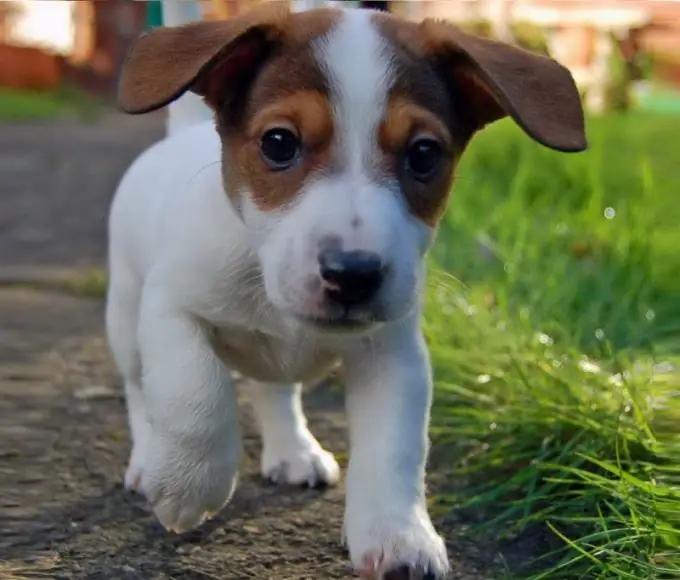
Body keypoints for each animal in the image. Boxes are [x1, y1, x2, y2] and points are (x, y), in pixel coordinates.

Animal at [106, 2, 584, 576]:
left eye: (424, 154)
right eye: (278, 143)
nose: (353, 273)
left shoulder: (395, 357)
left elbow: (394, 450)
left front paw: (398, 535)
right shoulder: (171, 307)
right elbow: (195, 392)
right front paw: (189, 482)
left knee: (274, 389)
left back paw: (293, 451)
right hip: (125, 317)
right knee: (139, 389)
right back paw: (146, 458)